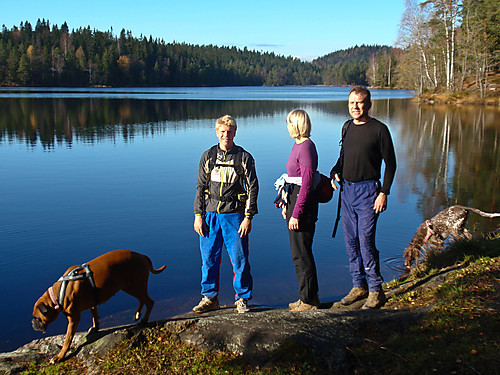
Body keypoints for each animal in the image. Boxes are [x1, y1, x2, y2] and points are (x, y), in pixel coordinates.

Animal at [31, 251, 166, 362]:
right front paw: (95, 328)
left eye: (37, 318)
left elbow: (67, 339)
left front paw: (60, 356)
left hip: (134, 286)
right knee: (142, 300)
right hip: (132, 287)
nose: (32, 323)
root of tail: (142, 256)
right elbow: (94, 315)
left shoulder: (73, 320)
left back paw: (144, 319)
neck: (59, 292)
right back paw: (137, 314)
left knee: (149, 302)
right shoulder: (92, 303)